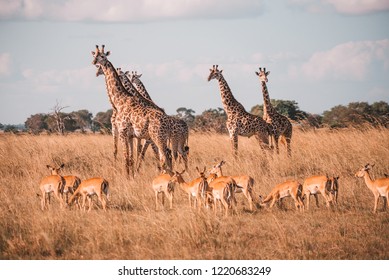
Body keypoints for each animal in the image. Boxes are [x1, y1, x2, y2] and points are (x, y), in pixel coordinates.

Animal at [91, 45, 171, 177]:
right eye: (94, 55)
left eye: (102, 56)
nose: (94, 63)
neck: (119, 102)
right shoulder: (131, 135)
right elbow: (131, 157)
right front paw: (132, 176)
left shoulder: (122, 132)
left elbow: (127, 157)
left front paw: (128, 177)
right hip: (158, 138)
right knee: (166, 156)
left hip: (155, 138)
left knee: (164, 157)